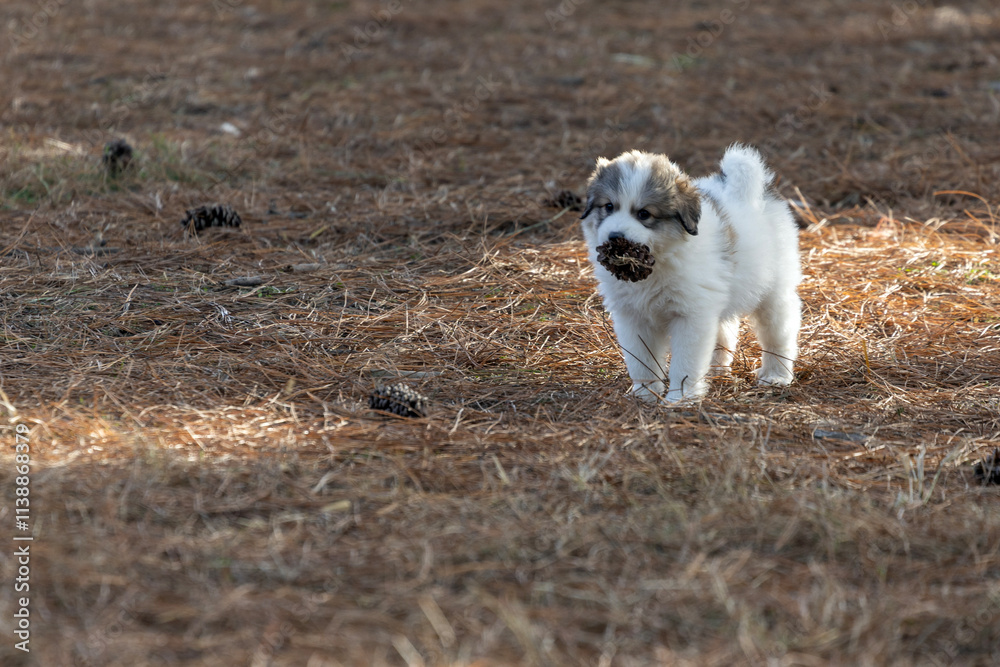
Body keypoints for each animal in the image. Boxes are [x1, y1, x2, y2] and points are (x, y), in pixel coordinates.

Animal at [580, 145, 801, 403]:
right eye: (608, 207)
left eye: (644, 214)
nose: (614, 237)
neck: (656, 263)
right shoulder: (633, 316)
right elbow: (641, 360)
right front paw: (645, 395)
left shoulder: (691, 316)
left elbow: (685, 362)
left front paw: (679, 398)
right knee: (724, 331)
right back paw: (715, 369)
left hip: (774, 292)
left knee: (778, 334)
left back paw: (776, 374)